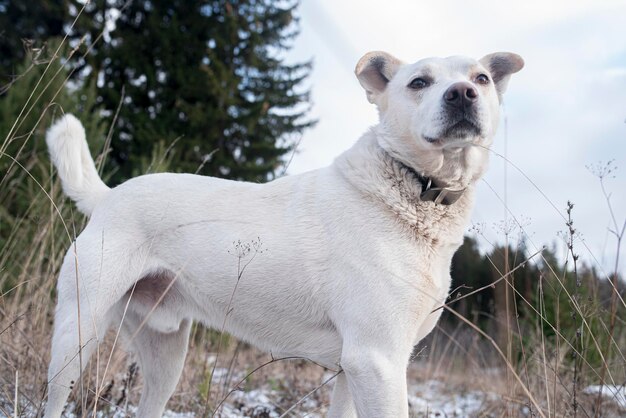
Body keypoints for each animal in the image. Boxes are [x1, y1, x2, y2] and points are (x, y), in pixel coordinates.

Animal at [42, 50, 520, 416]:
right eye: (419, 82)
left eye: (480, 78)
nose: (463, 94)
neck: (415, 192)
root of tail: (107, 197)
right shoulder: (377, 360)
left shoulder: (354, 370)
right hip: (76, 335)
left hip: (165, 353)